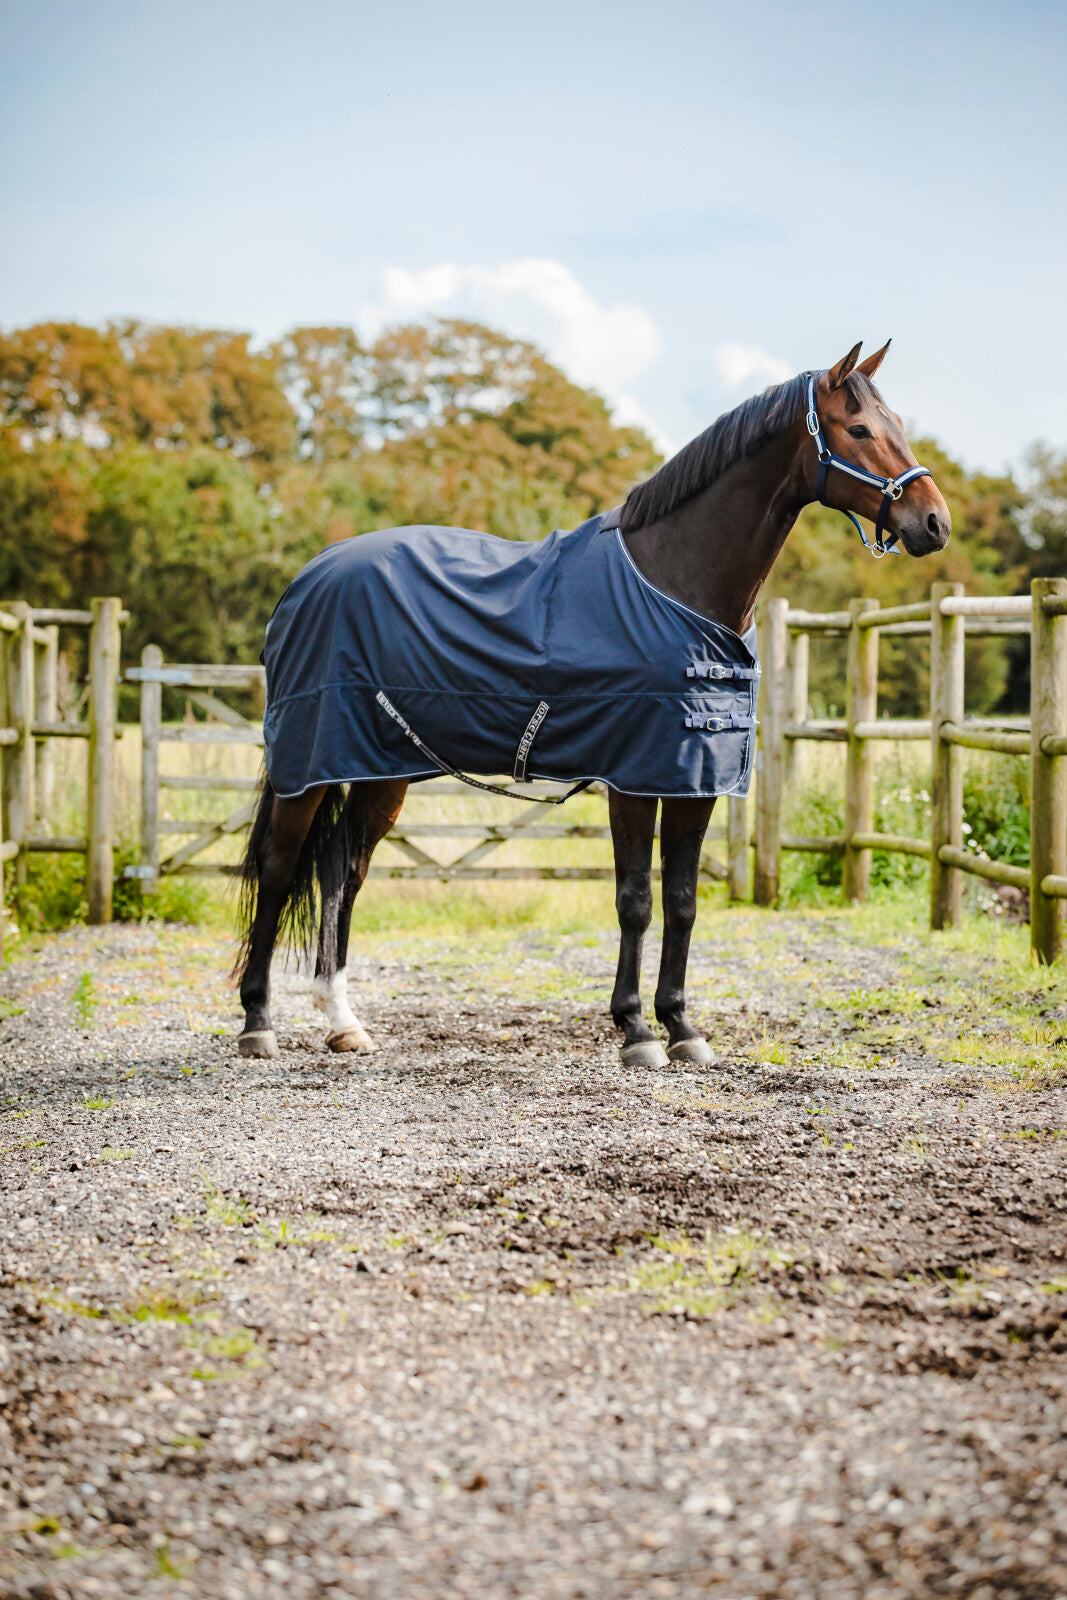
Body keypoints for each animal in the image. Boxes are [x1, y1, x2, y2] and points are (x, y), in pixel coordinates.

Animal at [234, 341, 950, 1065]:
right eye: (858, 430)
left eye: (896, 424)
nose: (934, 522)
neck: (676, 582)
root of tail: (307, 578)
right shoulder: (632, 776)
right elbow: (635, 899)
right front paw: (636, 1030)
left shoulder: (695, 778)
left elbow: (682, 900)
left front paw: (682, 1027)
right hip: (307, 769)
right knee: (279, 868)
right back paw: (258, 1023)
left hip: (380, 772)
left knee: (342, 873)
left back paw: (342, 1021)